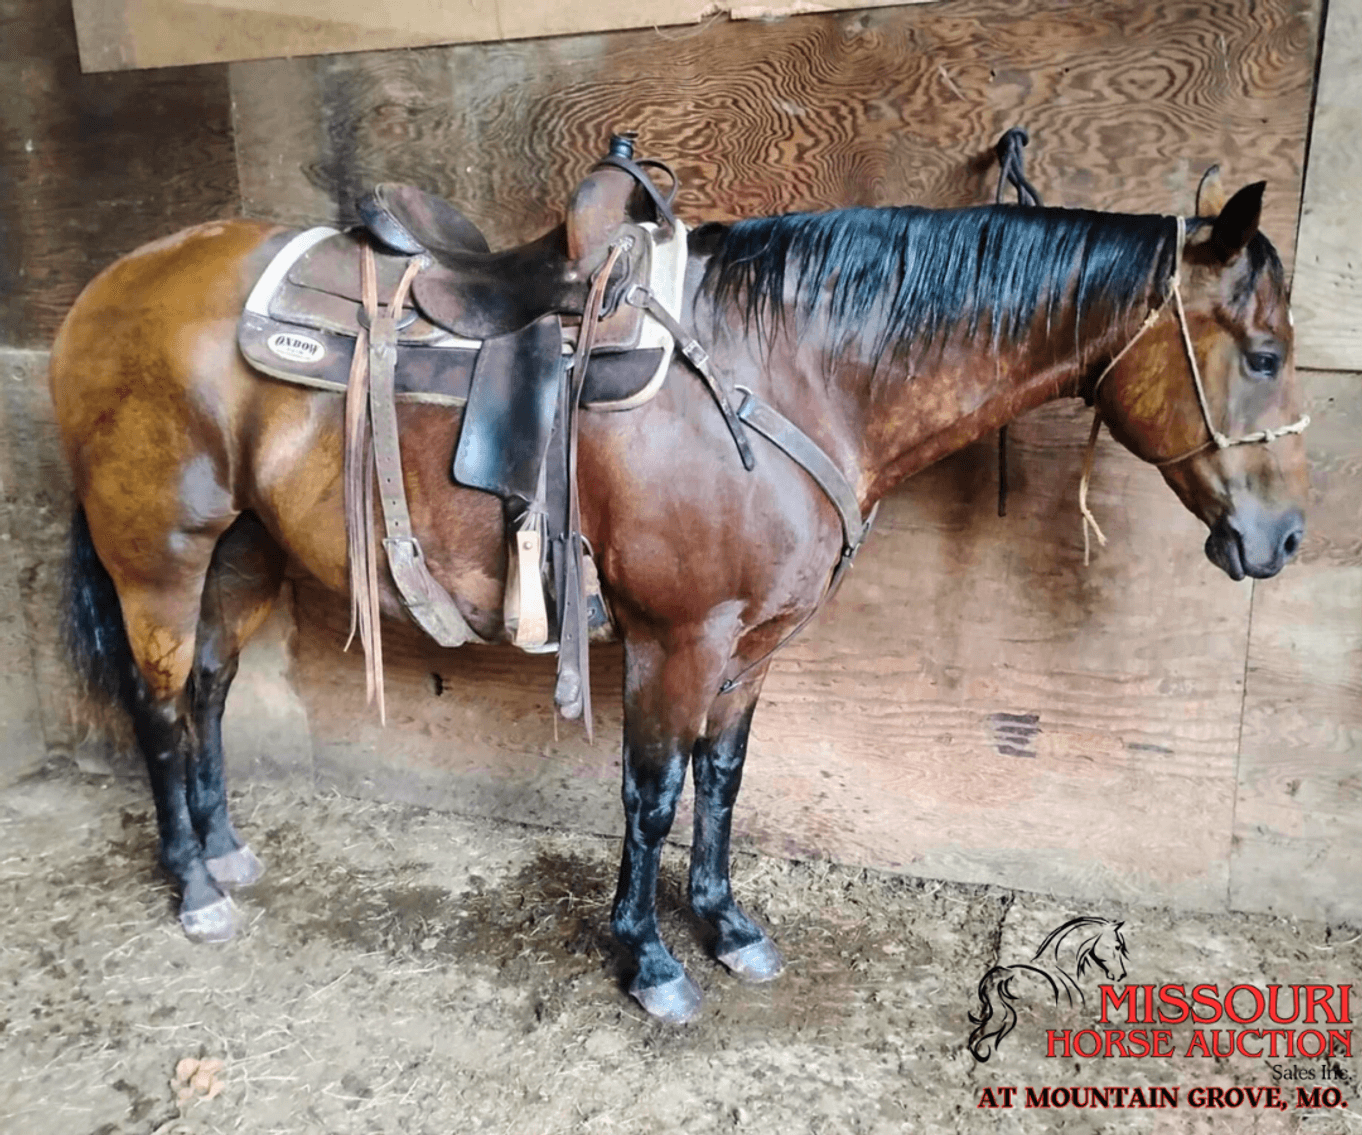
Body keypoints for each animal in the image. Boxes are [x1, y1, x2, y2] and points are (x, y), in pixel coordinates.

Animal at [51, 165, 1308, 1025]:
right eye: (1262, 355)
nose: (1285, 537)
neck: (783, 369)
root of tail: (110, 286)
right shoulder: (678, 639)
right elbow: (652, 793)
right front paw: (647, 957)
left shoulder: (752, 645)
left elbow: (723, 778)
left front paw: (726, 924)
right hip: (159, 555)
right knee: (158, 706)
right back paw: (192, 885)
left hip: (241, 553)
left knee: (209, 690)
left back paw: (225, 849)